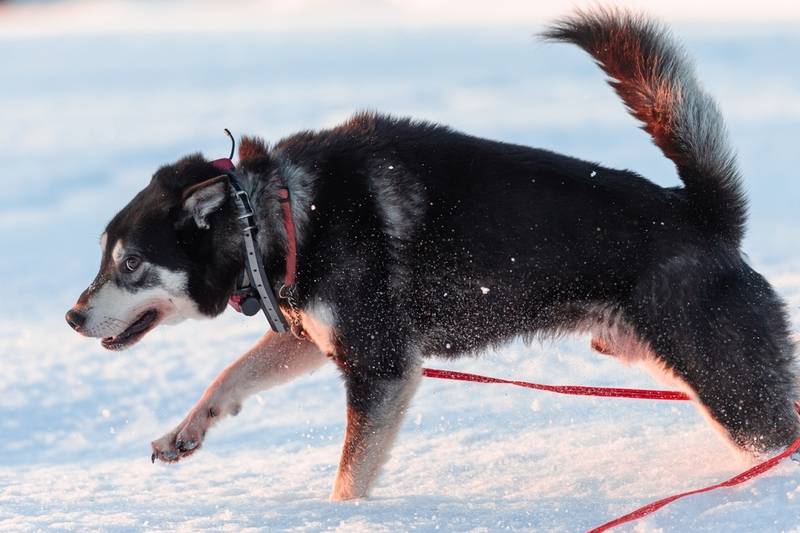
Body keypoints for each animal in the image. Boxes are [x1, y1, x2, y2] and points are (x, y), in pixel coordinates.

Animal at [64, 8, 800, 498]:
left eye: (129, 263)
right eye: (104, 257)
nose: (72, 316)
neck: (277, 215)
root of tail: (703, 215)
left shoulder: (380, 365)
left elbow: (350, 474)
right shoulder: (314, 337)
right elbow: (230, 375)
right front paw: (185, 430)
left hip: (729, 388)